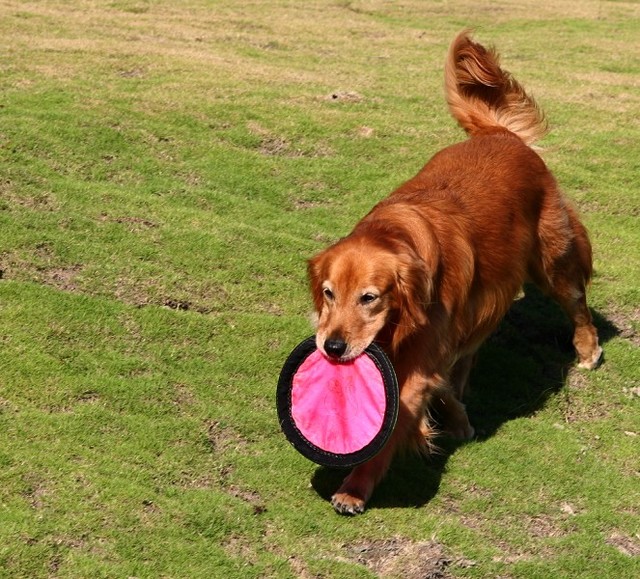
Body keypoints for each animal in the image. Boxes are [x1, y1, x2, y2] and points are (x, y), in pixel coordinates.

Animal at [308, 30, 604, 516]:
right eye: (329, 294)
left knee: (577, 303)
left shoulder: (421, 360)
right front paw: (458, 418)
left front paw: (355, 488)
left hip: (552, 260)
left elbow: (395, 425)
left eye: (370, 297)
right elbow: (441, 379)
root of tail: (501, 134)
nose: (332, 347)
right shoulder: (435, 344)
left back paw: (588, 349)